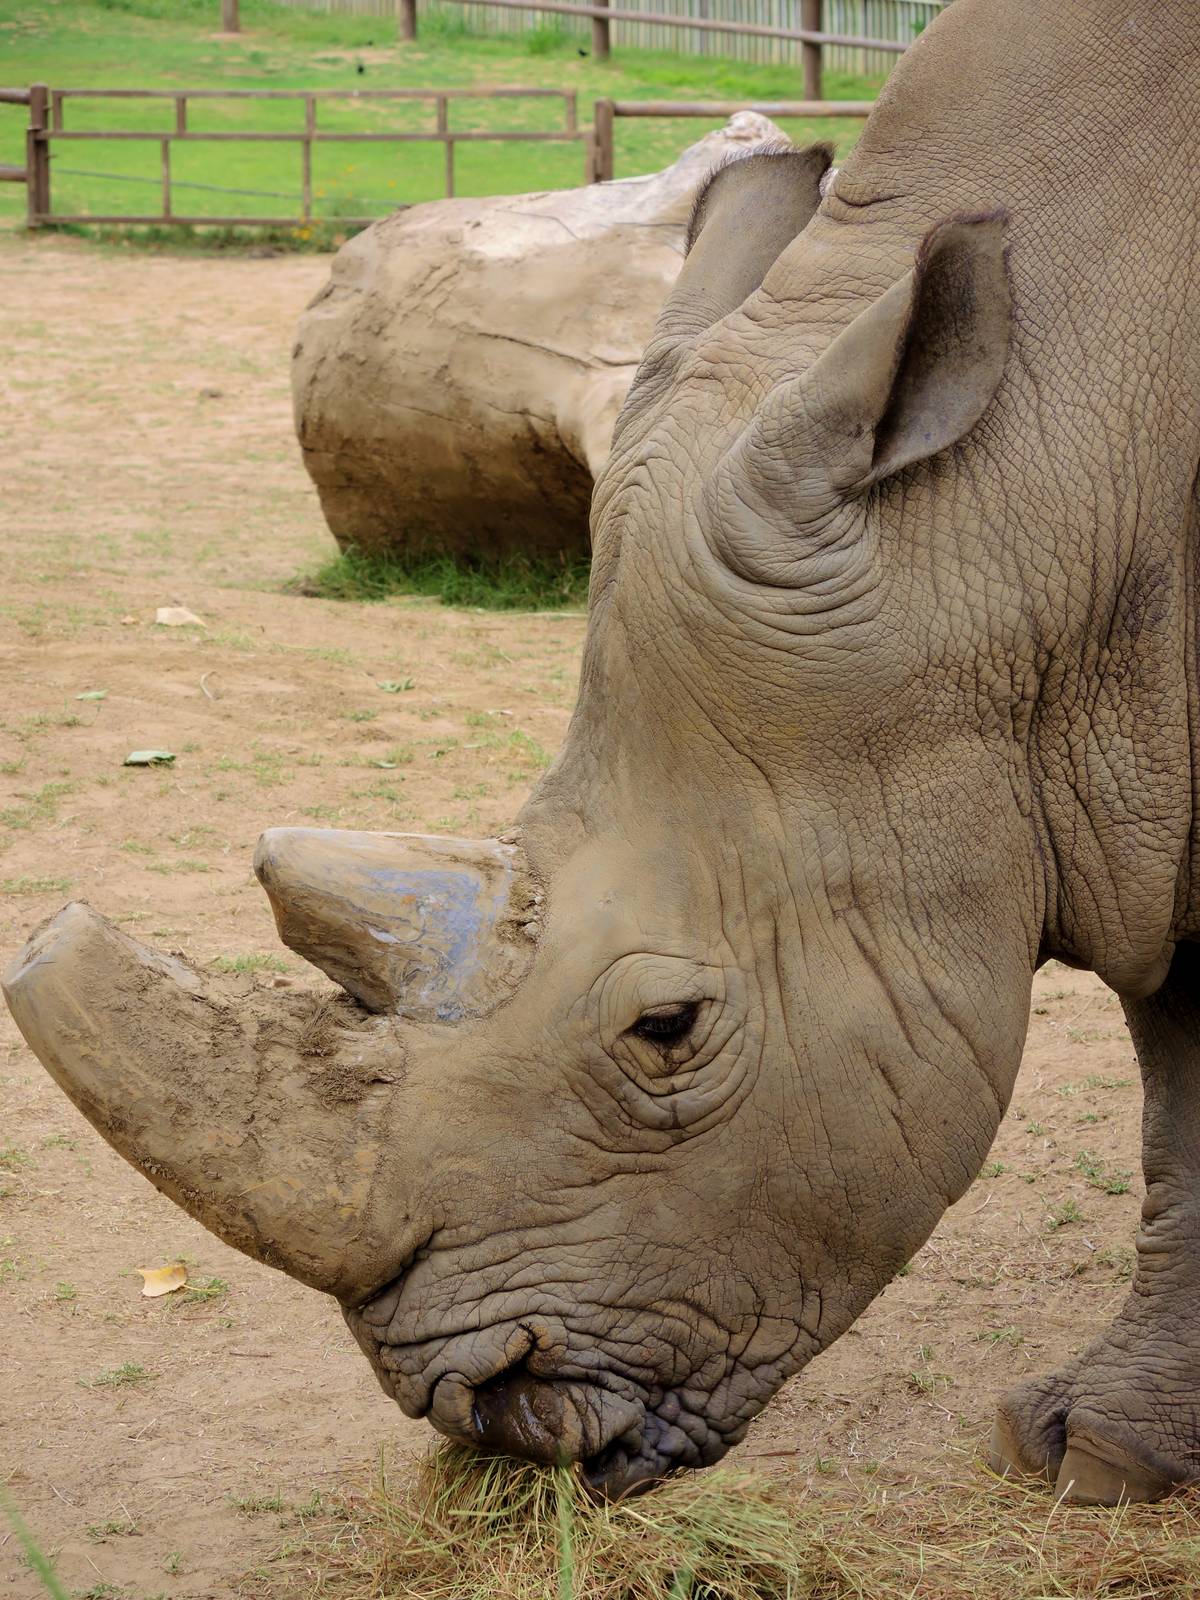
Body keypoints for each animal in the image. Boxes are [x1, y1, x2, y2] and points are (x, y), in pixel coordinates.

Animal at [6, 0, 1200, 1507]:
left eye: (667, 1027)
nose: (493, 1412)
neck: (1020, 496)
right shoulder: (1122, 783)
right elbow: (1179, 1092)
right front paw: (1099, 1450)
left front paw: (1102, 1456)